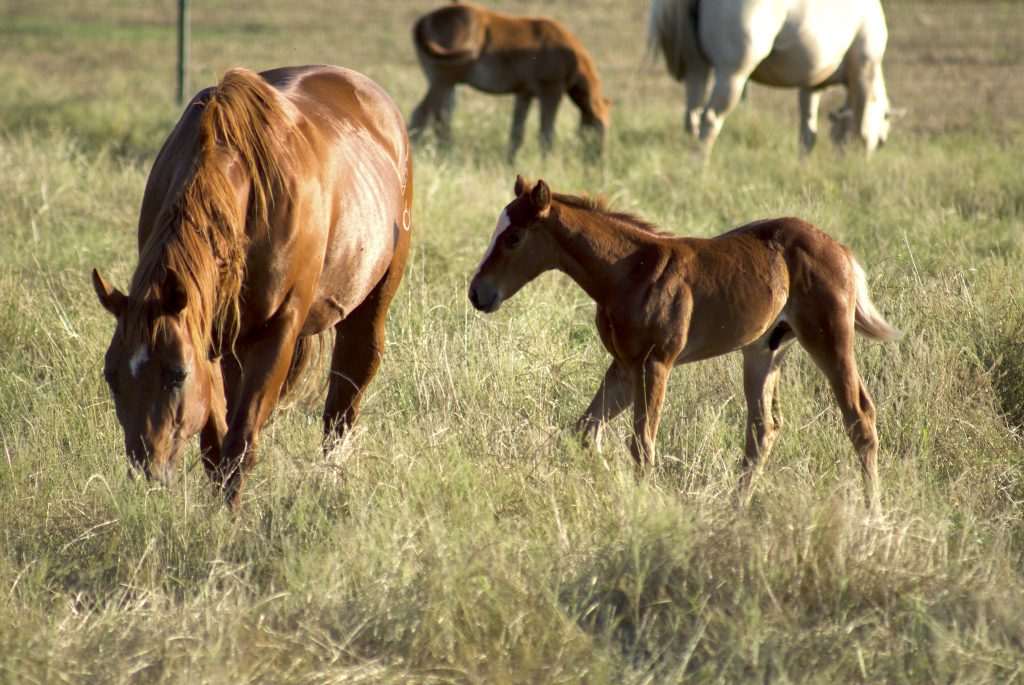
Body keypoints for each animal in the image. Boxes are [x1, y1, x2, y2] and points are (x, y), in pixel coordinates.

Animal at [92, 65, 413, 508]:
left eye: (176, 374)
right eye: (111, 375)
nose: (146, 473)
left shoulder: (278, 331)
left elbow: (241, 442)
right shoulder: (206, 335)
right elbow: (216, 443)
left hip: (368, 311)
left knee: (343, 405)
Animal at [408, 1, 612, 162]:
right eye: (600, 127)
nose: (598, 160)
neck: (569, 57)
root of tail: (424, 21)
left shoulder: (524, 94)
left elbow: (516, 134)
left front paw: (510, 164)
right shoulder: (551, 92)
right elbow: (546, 135)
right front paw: (546, 165)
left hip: (449, 84)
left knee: (441, 119)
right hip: (443, 80)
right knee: (421, 114)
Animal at [468, 176, 899, 511]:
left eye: (514, 237)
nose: (477, 293)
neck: (627, 271)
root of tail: (840, 249)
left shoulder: (656, 363)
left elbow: (642, 445)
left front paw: (643, 505)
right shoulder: (624, 365)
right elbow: (586, 432)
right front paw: (614, 490)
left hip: (829, 339)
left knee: (860, 417)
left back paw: (873, 515)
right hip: (764, 350)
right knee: (763, 429)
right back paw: (734, 511)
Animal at [647, 0, 900, 158]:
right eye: (883, 142)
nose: (841, 160)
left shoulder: (810, 86)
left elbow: (808, 133)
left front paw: (802, 165)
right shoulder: (863, 70)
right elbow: (862, 129)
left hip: (697, 67)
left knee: (692, 117)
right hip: (733, 73)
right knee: (710, 119)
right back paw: (701, 164)